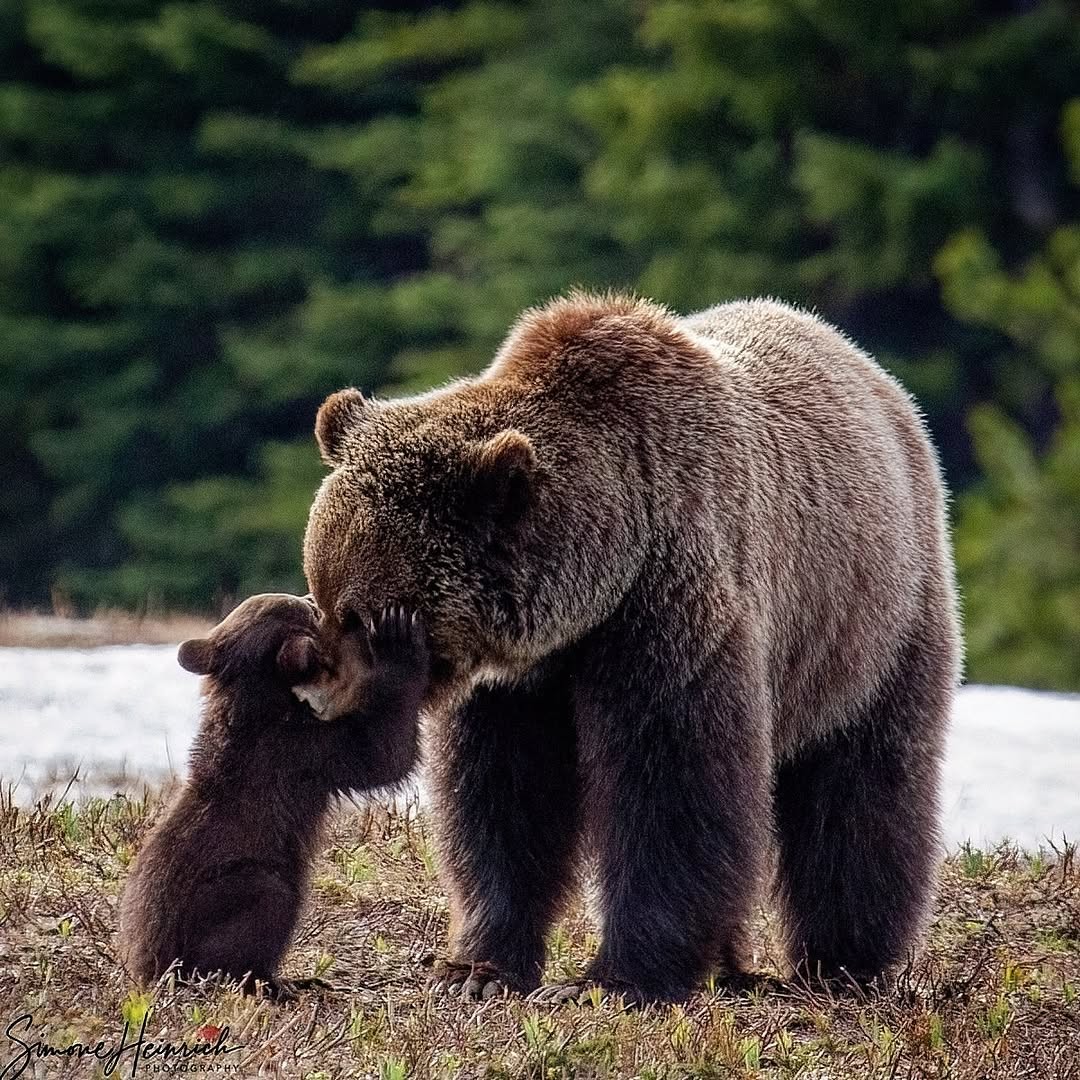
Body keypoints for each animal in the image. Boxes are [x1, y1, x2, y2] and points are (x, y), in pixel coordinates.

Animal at [118, 593, 429, 998]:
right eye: (308, 610)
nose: (310, 596)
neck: (263, 701)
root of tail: (149, 970)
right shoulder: (303, 753)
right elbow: (383, 752)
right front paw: (398, 638)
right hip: (235, 884)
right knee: (266, 907)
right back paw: (273, 982)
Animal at [302, 292, 962, 1003]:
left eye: (365, 618)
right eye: (321, 595)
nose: (319, 701)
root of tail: (879, 380)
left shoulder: (670, 607)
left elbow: (672, 787)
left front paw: (620, 977)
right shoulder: (520, 680)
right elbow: (504, 798)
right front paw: (479, 965)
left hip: (875, 622)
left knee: (864, 787)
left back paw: (845, 962)